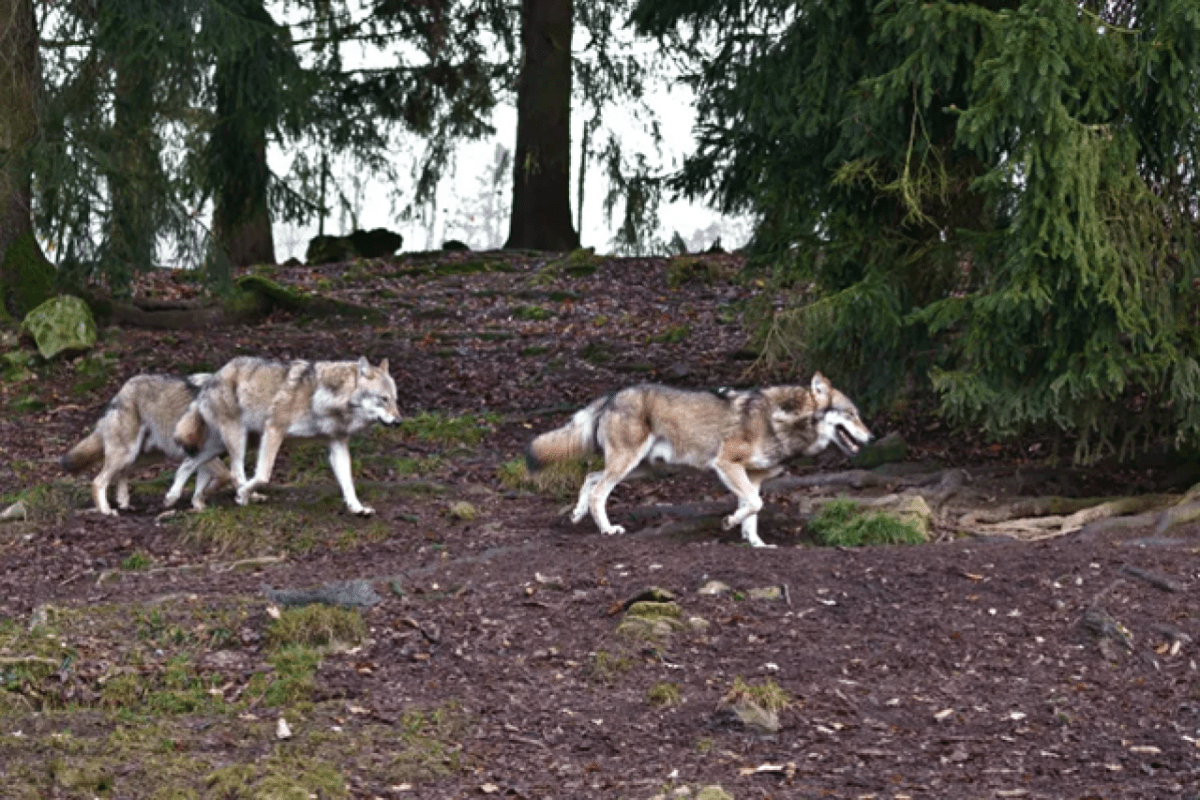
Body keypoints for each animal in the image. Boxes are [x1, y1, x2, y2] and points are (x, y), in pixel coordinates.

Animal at [61, 374, 232, 516]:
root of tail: (122, 390)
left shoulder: (204, 455)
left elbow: (206, 481)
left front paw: (199, 505)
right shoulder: (203, 452)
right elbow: (225, 475)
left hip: (147, 456)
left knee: (122, 472)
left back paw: (123, 501)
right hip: (127, 453)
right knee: (98, 481)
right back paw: (106, 511)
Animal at [173, 356, 401, 516]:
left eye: (395, 399)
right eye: (384, 399)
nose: (399, 422)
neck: (323, 398)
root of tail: (214, 376)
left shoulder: (337, 443)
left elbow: (348, 483)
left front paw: (357, 508)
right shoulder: (274, 430)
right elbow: (263, 475)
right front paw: (243, 495)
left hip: (227, 444)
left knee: (189, 462)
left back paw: (176, 497)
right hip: (238, 439)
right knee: (235, 473)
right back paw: (244, 497)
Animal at [526, 373, 873, 548]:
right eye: (851, 414)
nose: (871, 438)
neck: (782, 420)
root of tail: (612, 395)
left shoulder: (754, 477)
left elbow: (754, 509)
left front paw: (755, 543)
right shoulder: (727, 464)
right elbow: (752, 505)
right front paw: (729, 523)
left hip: (639, 469)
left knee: (590, 478)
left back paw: (577, 514)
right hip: (628, 465)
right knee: (599, 491)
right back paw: (607, 530)